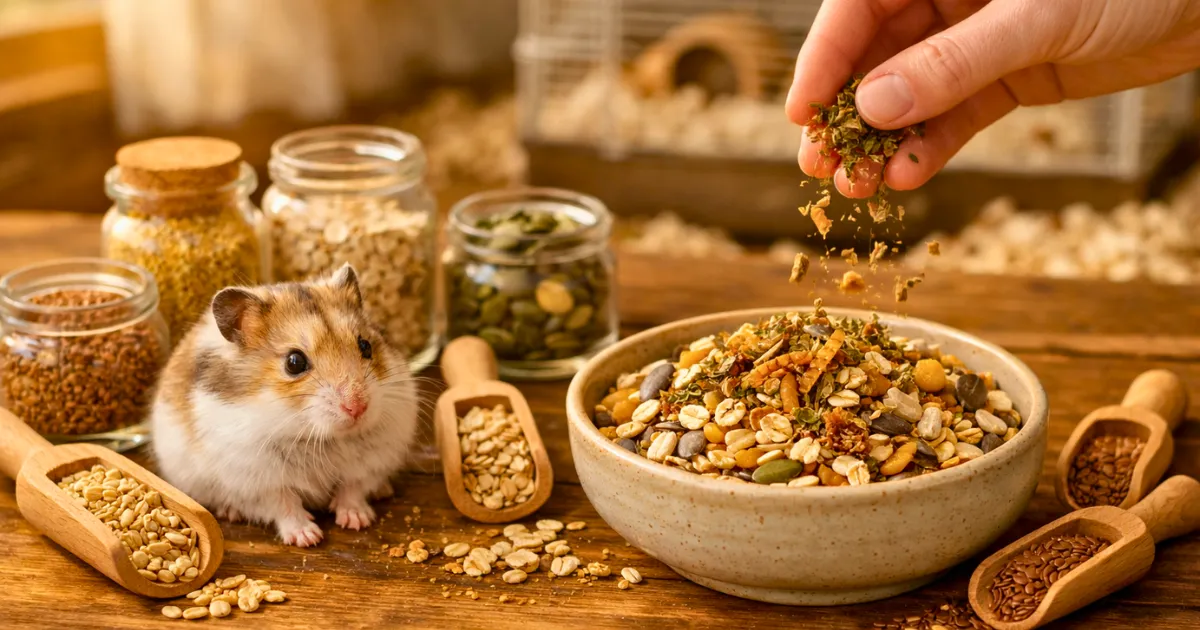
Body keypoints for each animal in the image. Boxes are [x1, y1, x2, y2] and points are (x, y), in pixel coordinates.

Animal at [151, 263, 419, 547]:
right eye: (294, 362)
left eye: (365, 346)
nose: (357, 407)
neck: (320, 437)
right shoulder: (259, 482)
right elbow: (285, 506)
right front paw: (308, 538)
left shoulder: (368, 464)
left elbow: (352, 490)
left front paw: (357, 521)